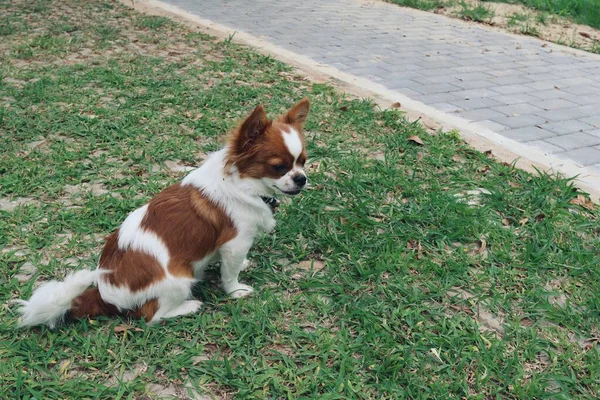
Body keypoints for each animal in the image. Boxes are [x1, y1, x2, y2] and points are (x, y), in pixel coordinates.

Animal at [17, 97, 312, 328]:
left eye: (303, 162)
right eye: (279, 167)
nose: (301, 179)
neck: (243, 185)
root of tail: (103, 293)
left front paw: (243, 266)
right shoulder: (235, 242)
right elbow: (229, 274)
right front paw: (236, 290)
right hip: (178, 282)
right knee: (152, 316)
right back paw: (188, 307)